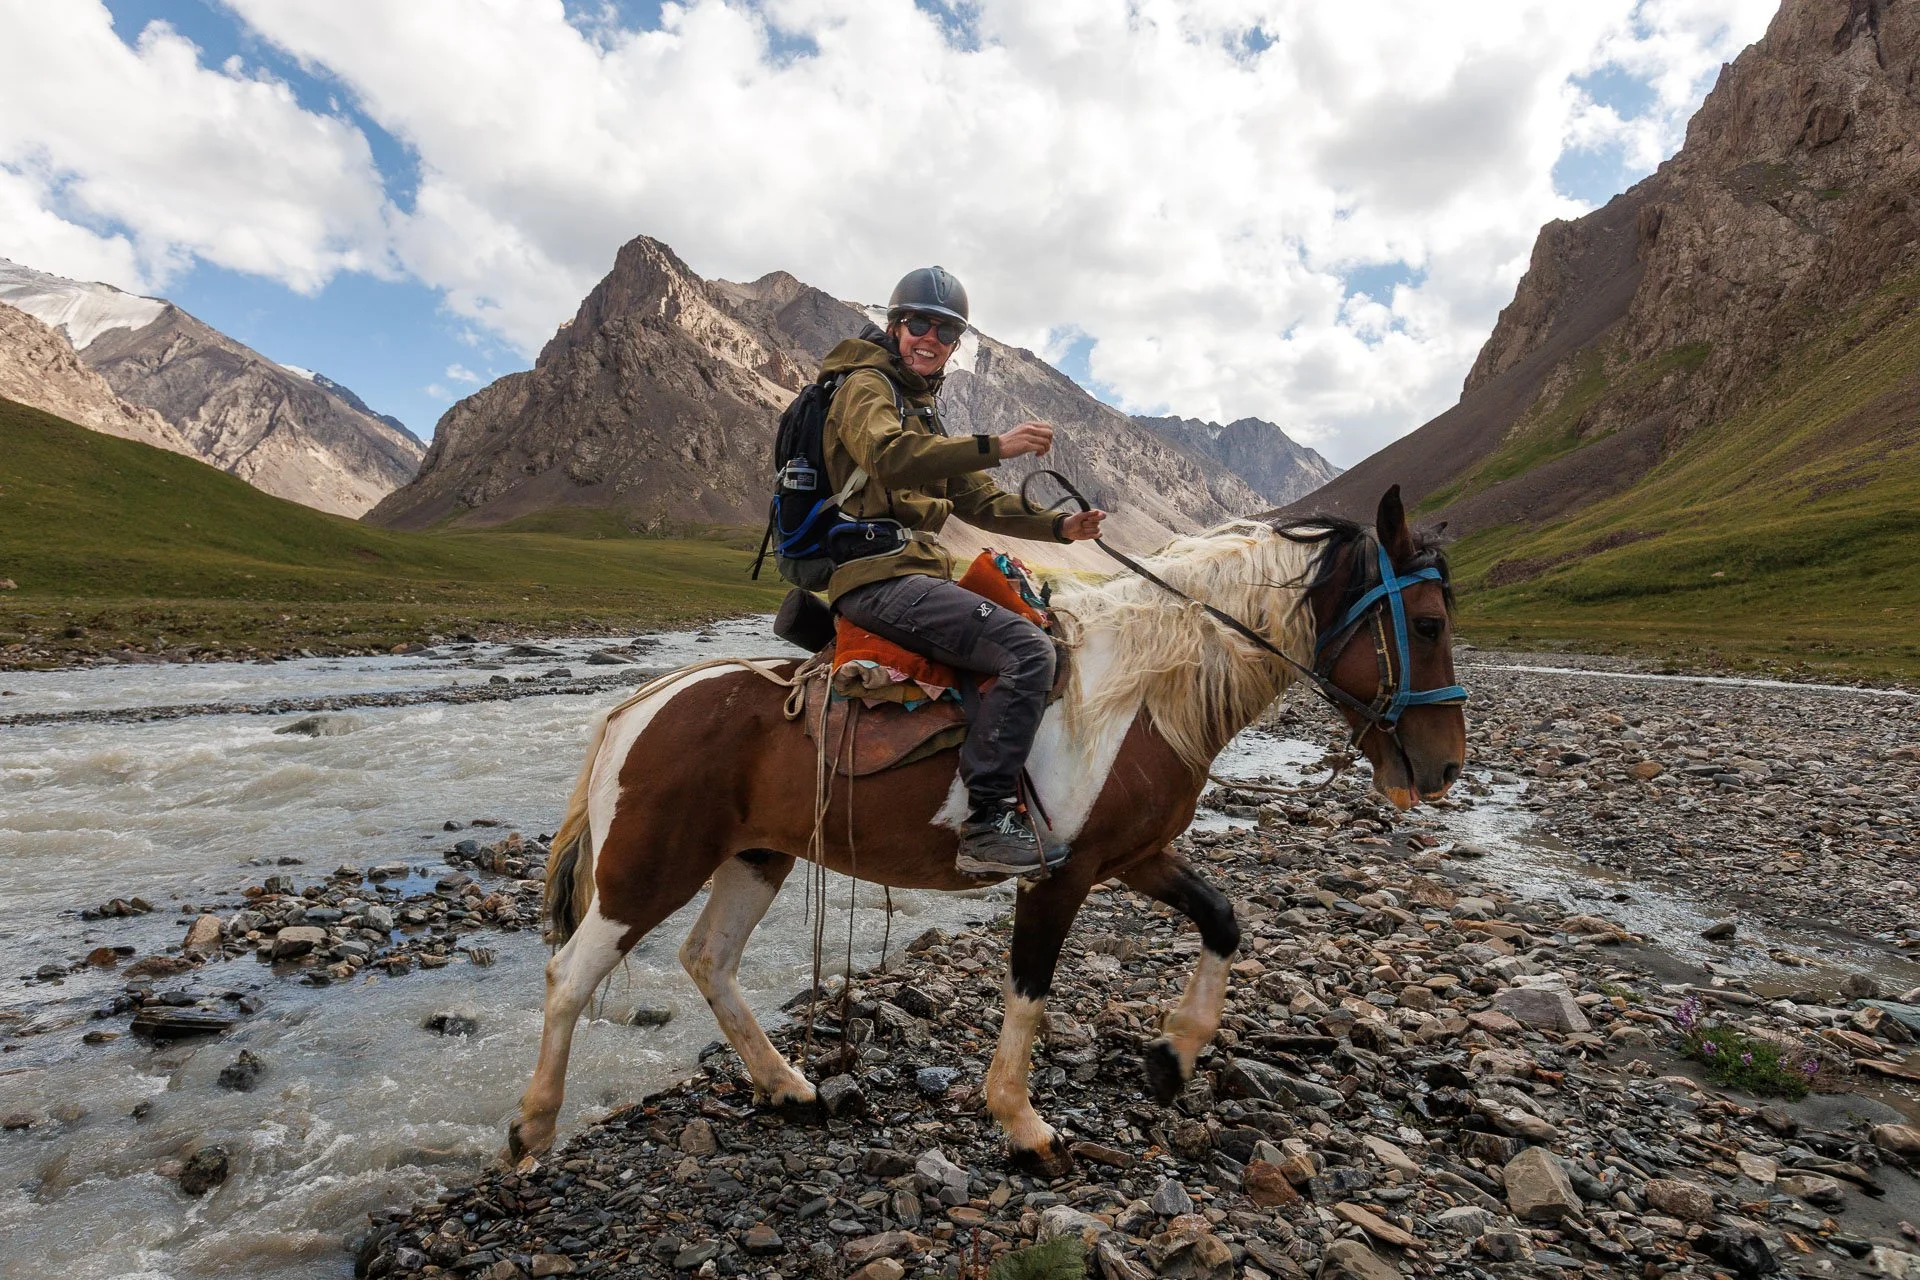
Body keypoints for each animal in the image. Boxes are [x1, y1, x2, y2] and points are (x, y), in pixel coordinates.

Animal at [508, 485, 1467, 1175]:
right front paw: (1026, 1127)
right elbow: (1030, 993)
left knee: (708, 959)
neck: (1137, 693)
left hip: (755, 856)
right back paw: (531, 1134)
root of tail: (641, 704)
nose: (1444, 768)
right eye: (1426, 624)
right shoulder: (1059, 873)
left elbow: (1223, 919)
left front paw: (1172, 1056)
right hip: (651, 866)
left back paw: (790, 1089)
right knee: (569, 976)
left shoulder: (1135, 855)